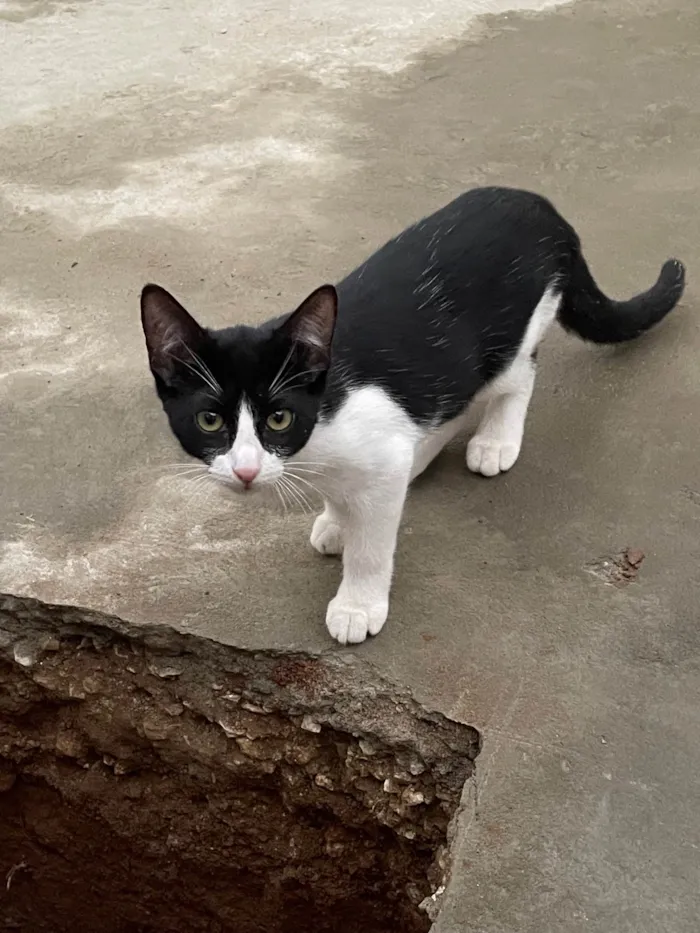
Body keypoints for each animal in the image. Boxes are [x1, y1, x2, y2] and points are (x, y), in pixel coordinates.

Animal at [141, 186, 684, 644]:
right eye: (210, 421)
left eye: (279, 419)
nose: (246, 471)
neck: (320, 425)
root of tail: (540, 206)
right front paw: (337, 519)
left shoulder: (376, 459)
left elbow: (372, 543)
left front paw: (358, 604)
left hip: (510, 338)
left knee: (518, 375)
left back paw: (496, 441)